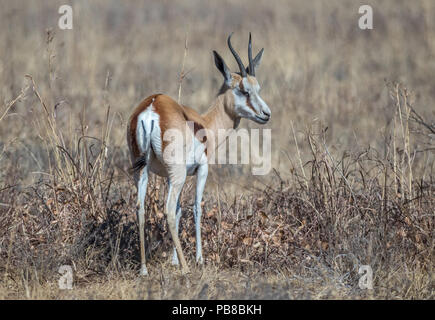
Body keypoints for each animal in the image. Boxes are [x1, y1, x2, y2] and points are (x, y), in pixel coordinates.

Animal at [127, 33, 270, 276]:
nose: (266, 114)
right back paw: (186, 268)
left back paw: (144, 269)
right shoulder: (201, 170)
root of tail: (151, 109)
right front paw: (199, 259)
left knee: (141, 208)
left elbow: (179, 210)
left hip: (143, 171)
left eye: (258, 88)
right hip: (176, 174)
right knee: (167, 210)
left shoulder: (170, 176)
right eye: (244, 90)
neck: (205, 124)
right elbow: (195, 207)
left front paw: (174, 260)